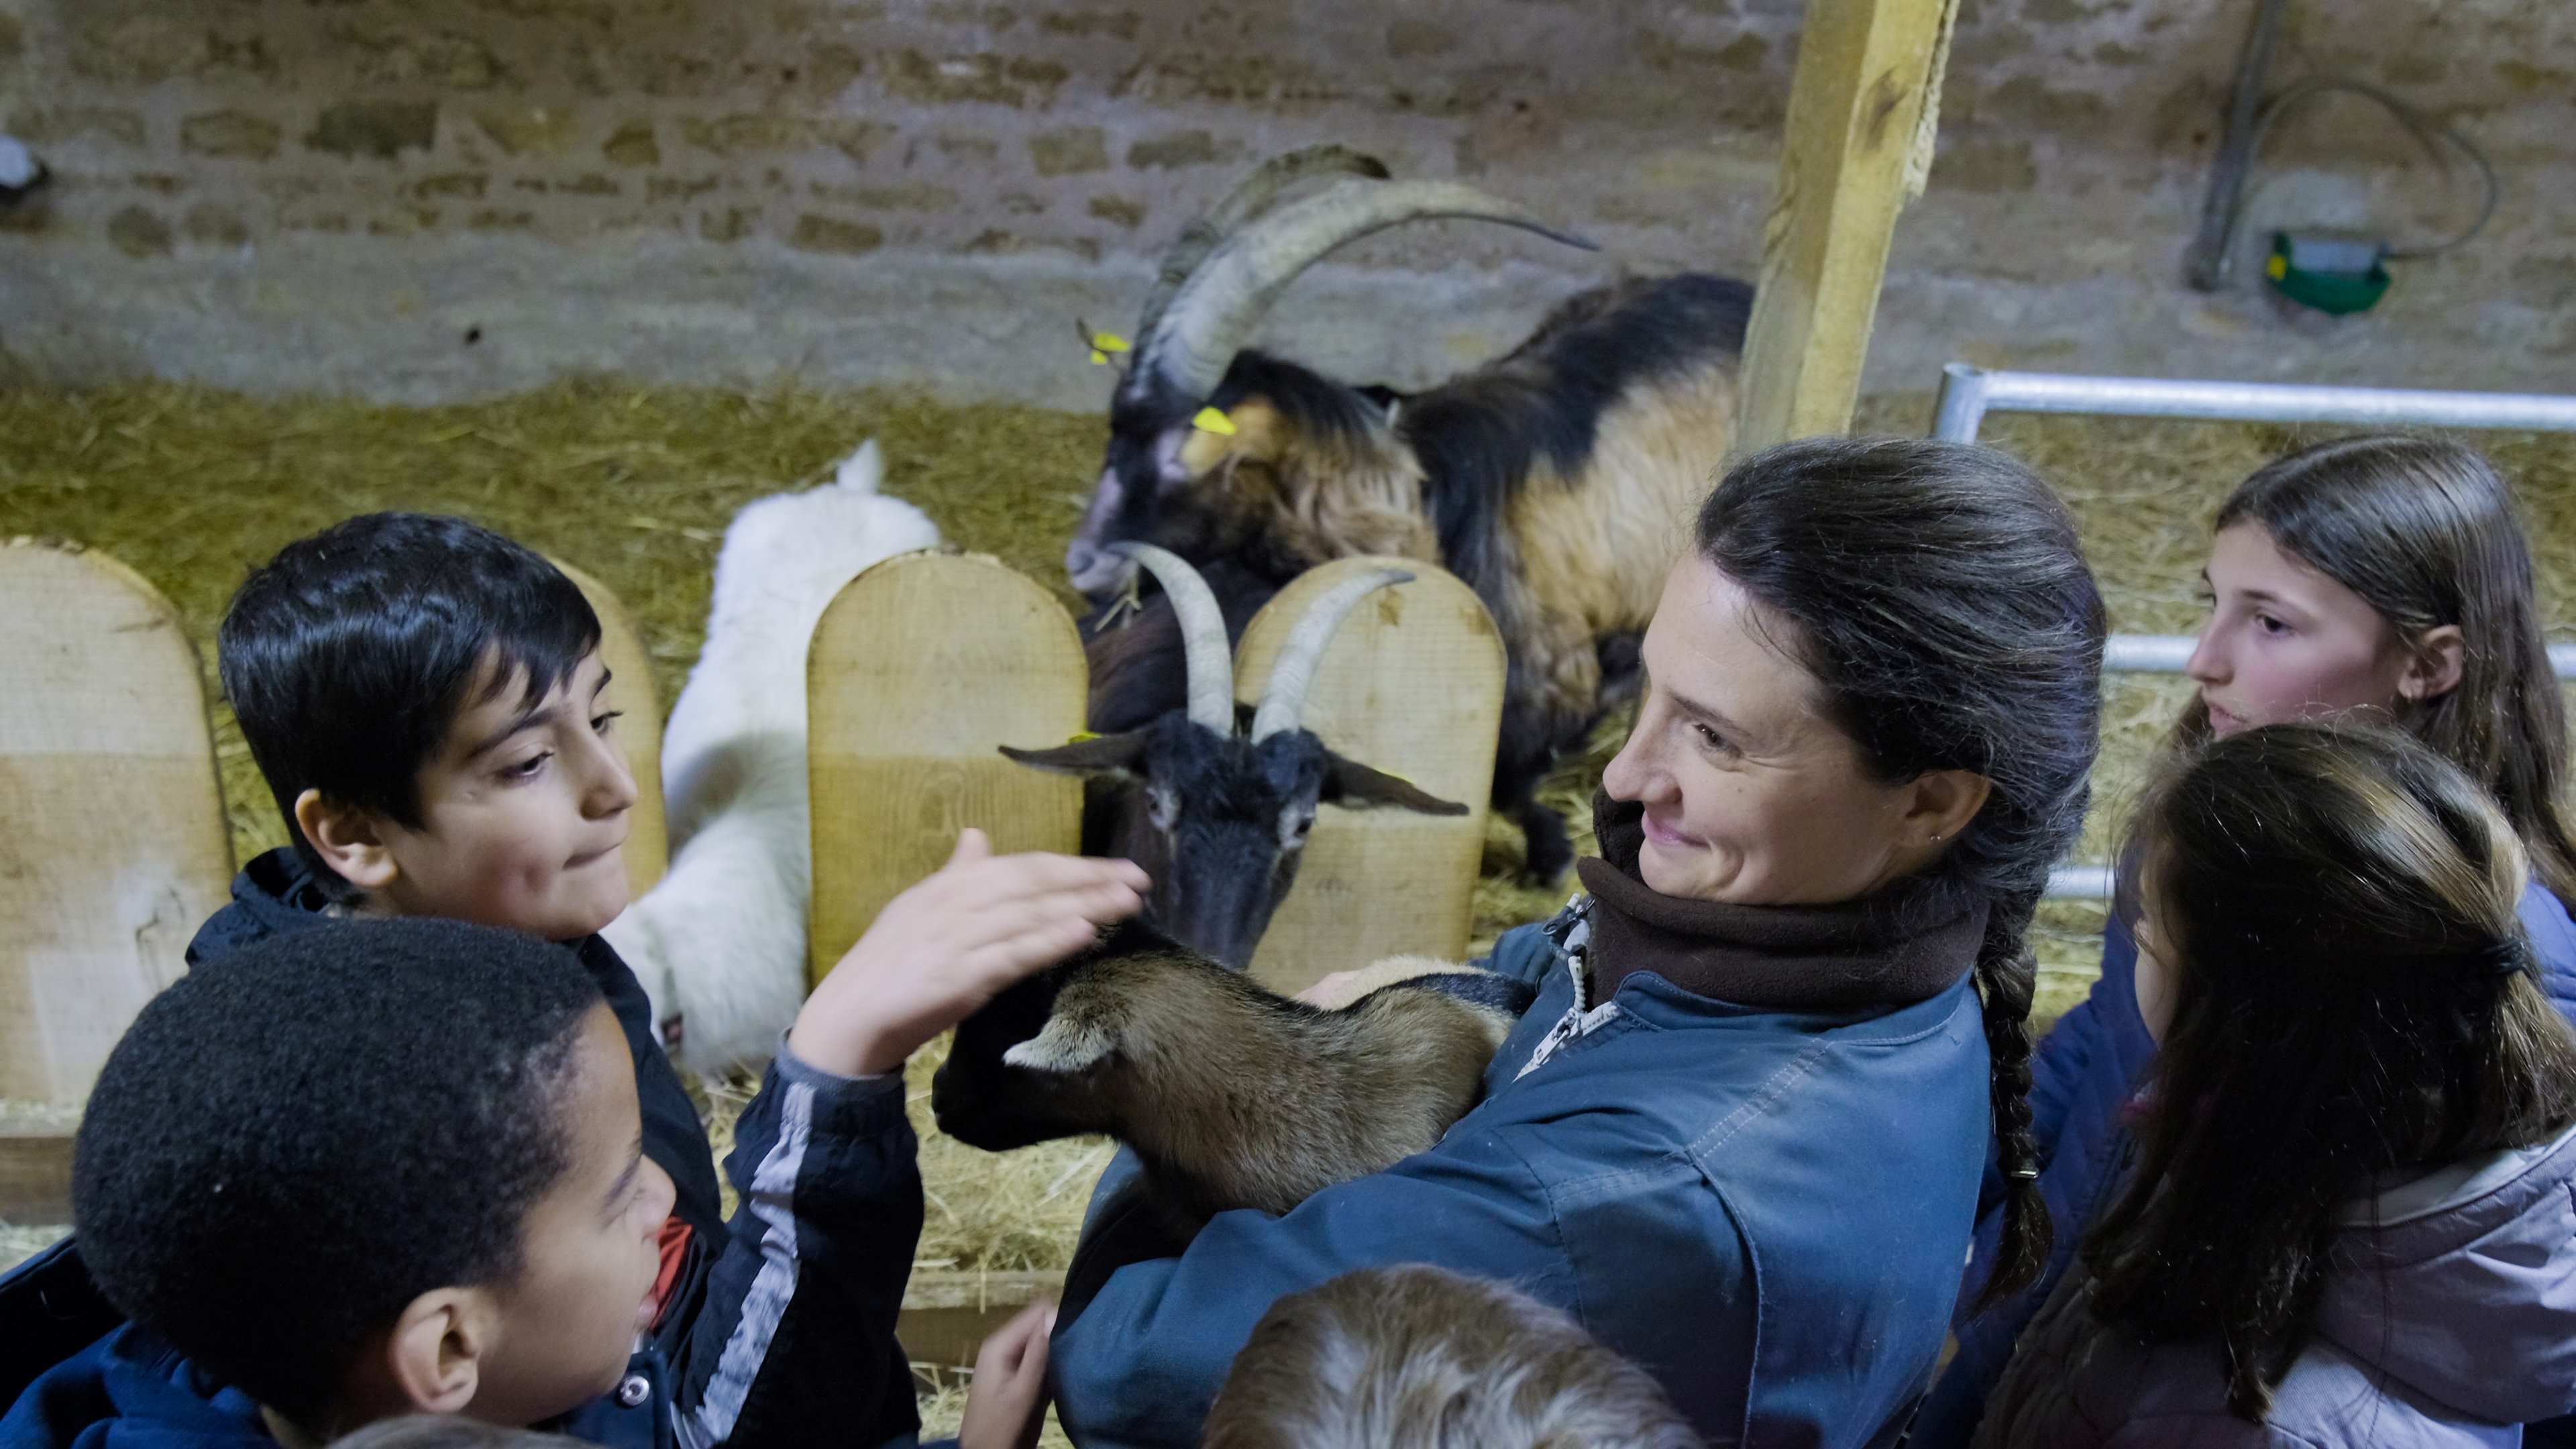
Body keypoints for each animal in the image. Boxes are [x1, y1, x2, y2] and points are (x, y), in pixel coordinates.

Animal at [1051, 152, 1752, 887]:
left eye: (1184, 452)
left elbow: (1515, 774)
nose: (1086, 563)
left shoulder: (1549, 676)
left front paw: (1555, 857)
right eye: (1115, 430)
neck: (1431, 501)